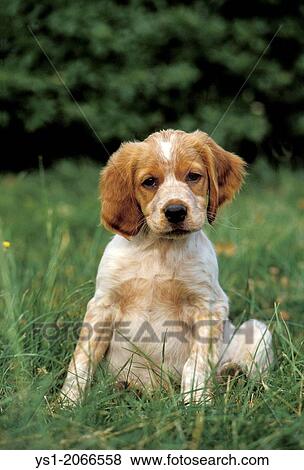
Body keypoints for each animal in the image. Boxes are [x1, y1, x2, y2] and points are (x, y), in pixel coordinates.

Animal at [61, 129, 274, 404]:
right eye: (150, 182)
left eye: (193, 176)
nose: (175, 211)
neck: (159, 249)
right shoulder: (102, 305)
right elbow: (81, 361)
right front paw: (66, 404)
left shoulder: (208, 306)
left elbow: (196, 365)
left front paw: (196, 404)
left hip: (257, 329)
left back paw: (232, 373)